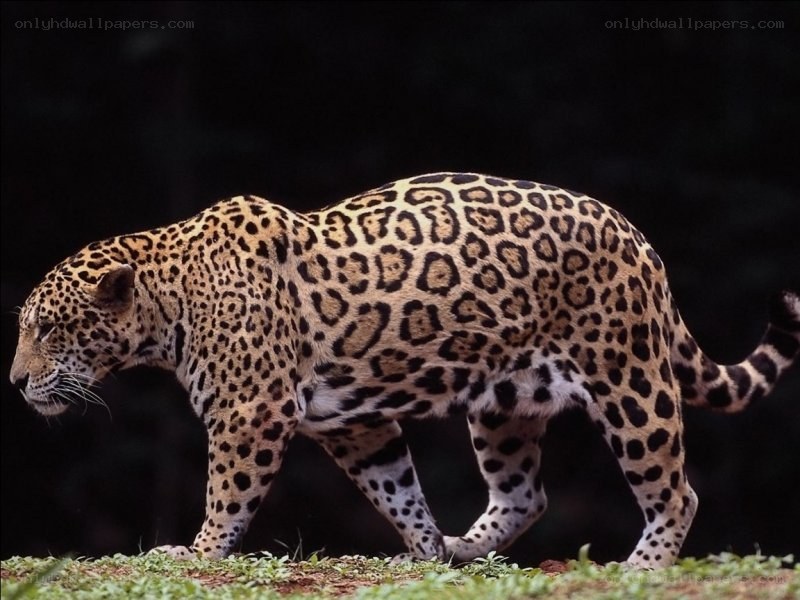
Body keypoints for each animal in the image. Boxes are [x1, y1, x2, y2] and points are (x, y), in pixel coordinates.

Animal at [10, 172, 799, 569]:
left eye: (46, 329)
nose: (15, 382)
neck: (167, 302)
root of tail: (639, 238)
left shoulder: (250, 413)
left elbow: (227, 496)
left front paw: (195, 554)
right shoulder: (355, 426)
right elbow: (398, 491)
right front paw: (422, 551)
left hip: (628, 379)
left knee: (676, 492)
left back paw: (643, 567)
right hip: (504, 404)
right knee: (525, 494)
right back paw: (463, 546)